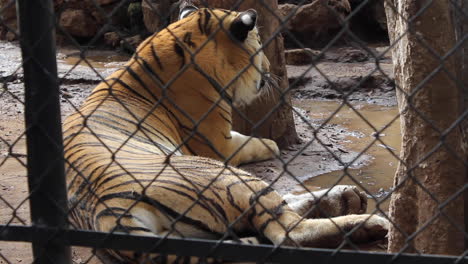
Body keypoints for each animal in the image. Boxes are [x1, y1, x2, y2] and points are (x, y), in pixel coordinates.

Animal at [64, 4, 390, 264]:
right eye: (259, 44)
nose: (270, 67)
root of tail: (107, 212)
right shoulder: (220, 145)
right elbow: (256, 143)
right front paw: (272, 144)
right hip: (221, 174)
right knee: (288, 231)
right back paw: (368, 222)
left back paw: (347, 197)